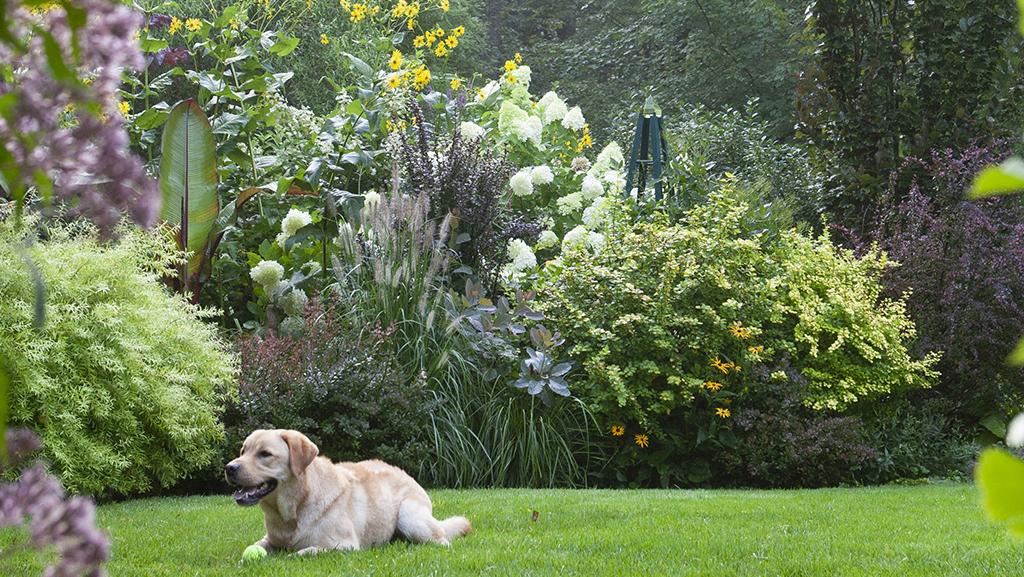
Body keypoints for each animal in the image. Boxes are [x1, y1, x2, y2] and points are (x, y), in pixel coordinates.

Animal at [224, 428, 471, 553]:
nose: (229, 468)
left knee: (442, 540)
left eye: (265, 454)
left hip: (410, 517)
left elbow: (305, 551)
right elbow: (254, 547)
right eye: (243, 451)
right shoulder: (270, 539)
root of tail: (407, 474)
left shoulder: (344, 545)